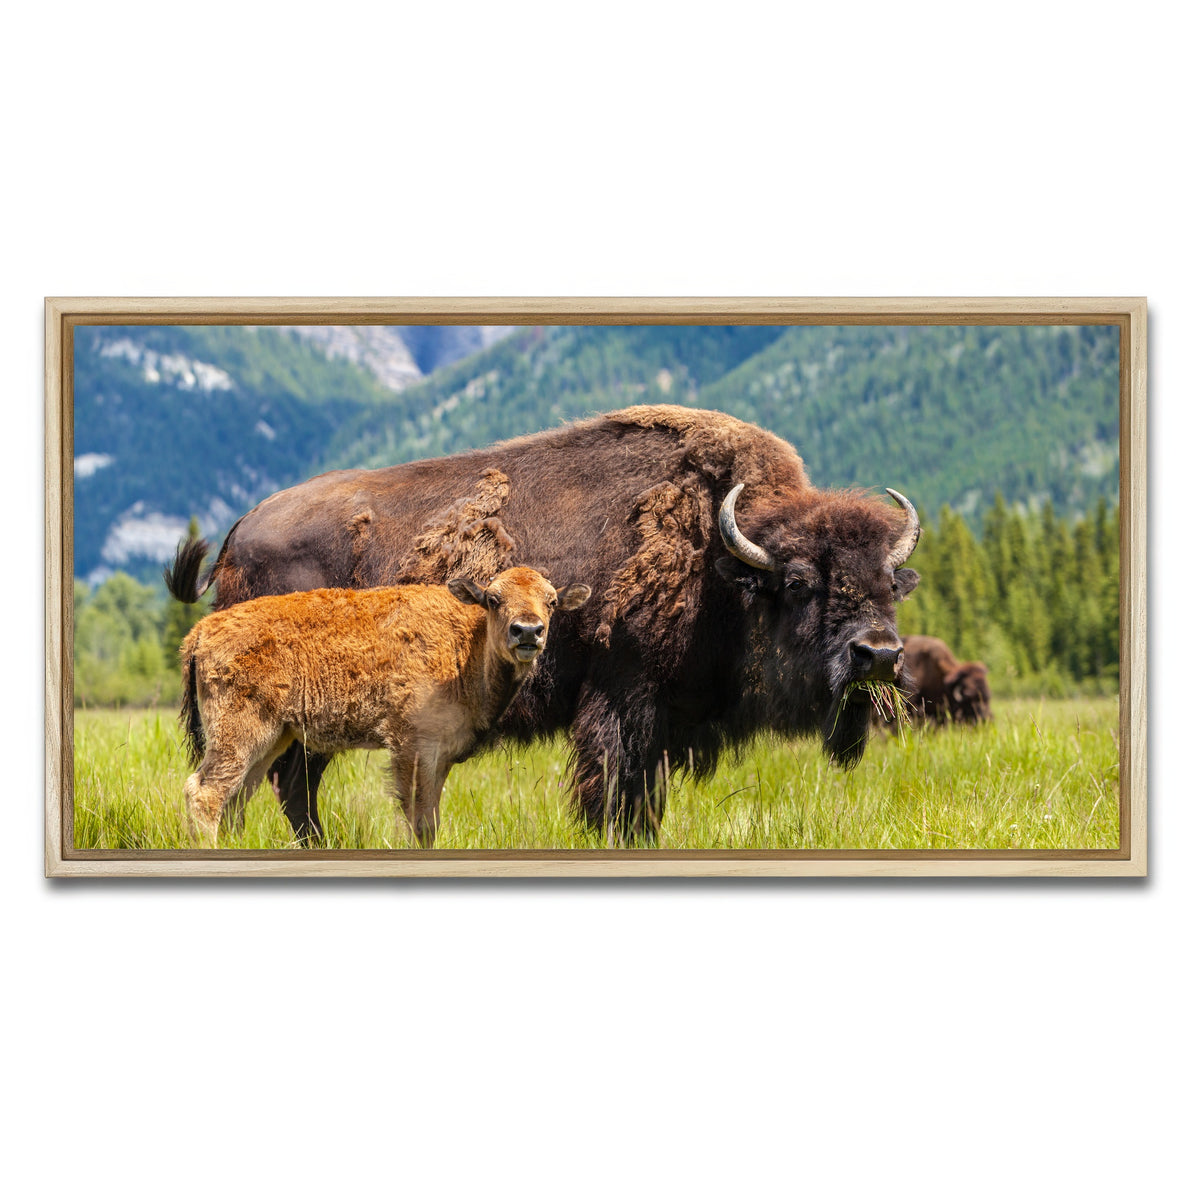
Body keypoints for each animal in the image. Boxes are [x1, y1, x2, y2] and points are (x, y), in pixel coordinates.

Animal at [179, 567, 591, 846]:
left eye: (552, 601)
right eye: (493, 599)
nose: (527, 631)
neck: (466, 645)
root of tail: (201, 631)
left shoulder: (440, 755)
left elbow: (430, 818)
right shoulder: (412, 747)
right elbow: (417, 819)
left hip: (270, 739)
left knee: (237, 796)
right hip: (239, 735)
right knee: (205, 793)